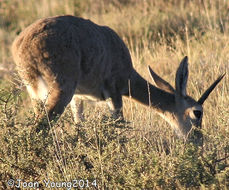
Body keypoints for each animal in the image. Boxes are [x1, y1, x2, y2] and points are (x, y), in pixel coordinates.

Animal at [11, 15, 225, 142]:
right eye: (197, 112)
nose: (199, 141)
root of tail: (23, 43)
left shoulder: (78, 98)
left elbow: (80, 125)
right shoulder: (114, 94)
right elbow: (119, 126)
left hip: (37, 95)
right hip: (60, 92)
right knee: (38, 129)